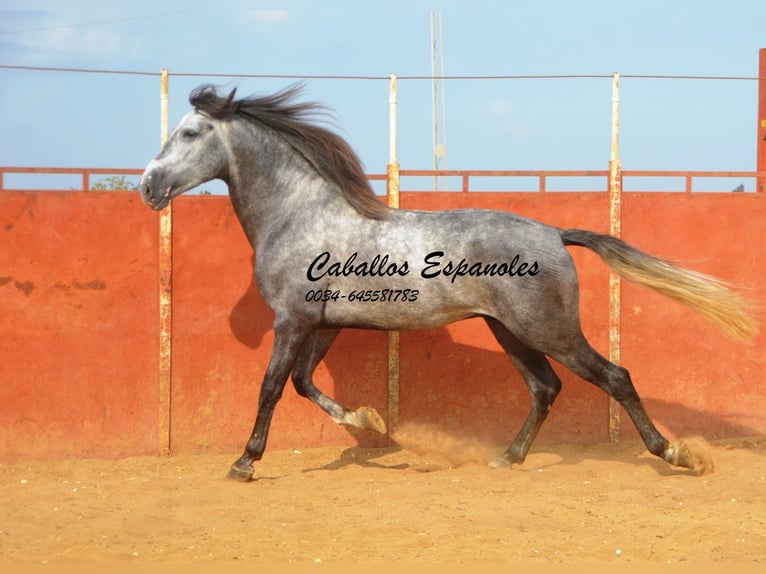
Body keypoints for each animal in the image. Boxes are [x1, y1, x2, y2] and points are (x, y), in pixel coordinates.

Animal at [139, 84, 757, 481]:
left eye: (189, 132)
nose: (147, 186)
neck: (300, 215)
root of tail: (555, 233)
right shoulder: (323, 323)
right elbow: (304, 383)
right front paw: (370, 420)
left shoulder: (291, 320)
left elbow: (271, 387)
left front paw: (244, 462)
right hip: (510, 331)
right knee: (546, 388)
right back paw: (507, 458)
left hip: (548, 329)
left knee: (614, 377)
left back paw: (674, 454)